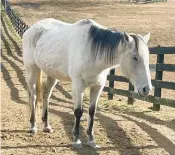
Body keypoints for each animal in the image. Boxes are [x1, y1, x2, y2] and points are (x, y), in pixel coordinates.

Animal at [22, 18, 152, 149]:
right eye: (135, 57)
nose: (147, 89)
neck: (91, 52)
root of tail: (31, 29)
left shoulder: (97, 87)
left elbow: (92, 111)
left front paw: (91, 140)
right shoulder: (78, 85)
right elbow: (78, 111)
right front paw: (76, 140)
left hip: (52, 75)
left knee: (46, 96)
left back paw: (46, 126)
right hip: (32, 70)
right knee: (33, 96)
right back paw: (33, 126)